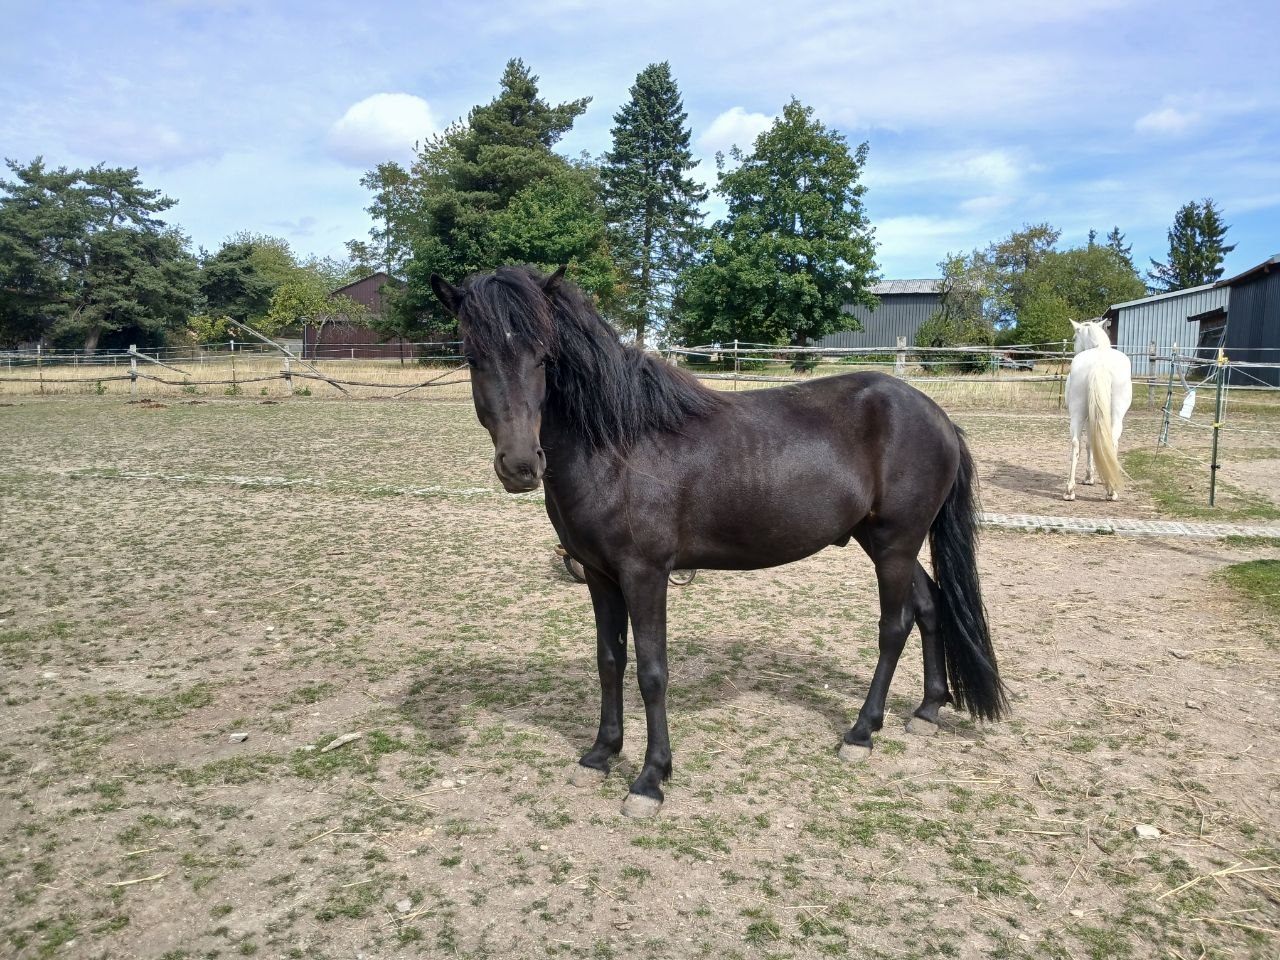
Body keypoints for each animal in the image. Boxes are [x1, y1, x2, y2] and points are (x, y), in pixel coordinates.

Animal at [431, 265, 1006, 817]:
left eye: (544, 357)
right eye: (472, 357)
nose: (520, 466)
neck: (619, 445)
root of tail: (937, 416)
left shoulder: (645, 574)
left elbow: (652, 672)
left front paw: (650, 780)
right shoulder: (598, 575)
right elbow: (609, 661)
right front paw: (599, 755)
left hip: (894, 544)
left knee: (895, 626)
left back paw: (861, 733)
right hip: (886, 543)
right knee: (930, 605)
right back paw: (927, 710)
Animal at [1063, 319, 1132, 502]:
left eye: (1074, 338)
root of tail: (1099, 364)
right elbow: (1091, 444)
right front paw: (1089, 478)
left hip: (1078, 414)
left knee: (1075, 444)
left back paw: (1070, 491)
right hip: (1115, 417)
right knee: (1112, 443)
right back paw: (1111, 491)